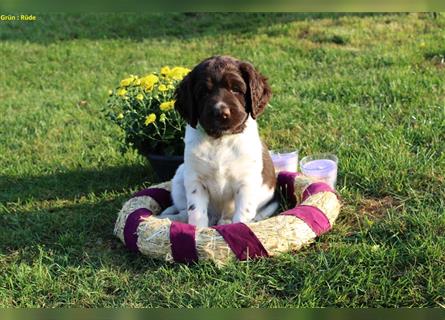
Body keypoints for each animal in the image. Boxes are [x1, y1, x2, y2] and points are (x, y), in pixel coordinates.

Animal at [160, 55, 278, 228]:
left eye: (236, 89)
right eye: (203, 92)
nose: (221, 113)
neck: (220, 140)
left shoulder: (246, 181)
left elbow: (243, 214)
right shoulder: (195, 179)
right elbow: (196, 212)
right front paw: (199, 230)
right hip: (180, 175)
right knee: (183, 211)